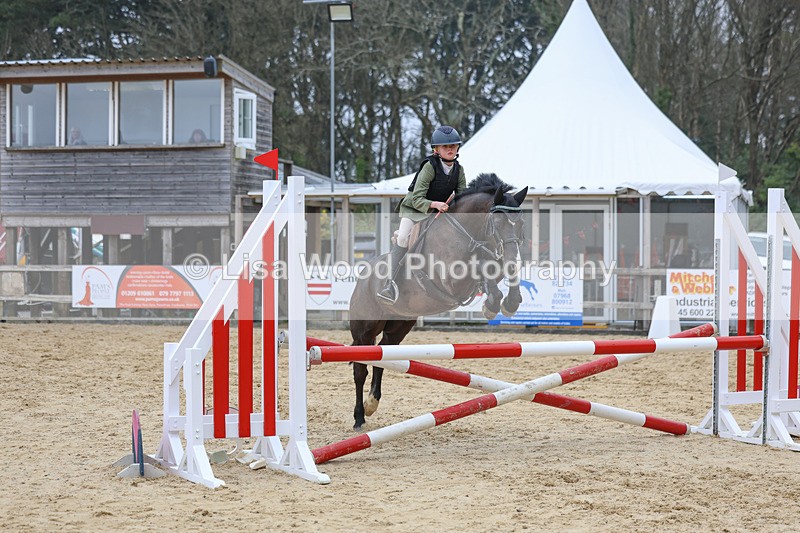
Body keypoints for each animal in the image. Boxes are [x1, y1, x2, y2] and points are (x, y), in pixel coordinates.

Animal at [347, 173, 529, 429]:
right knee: (360, 369)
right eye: (498, 221)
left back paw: (372, 403)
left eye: (520, 222)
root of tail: (363, 277)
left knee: (383, 356)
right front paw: (492, 304)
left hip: (399, 326)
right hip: (364, 330)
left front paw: (508, 303)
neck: (467, 233)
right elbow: (480, 268)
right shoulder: (451, 279)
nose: (514, 258)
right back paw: (359, 417)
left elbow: (499, 273)